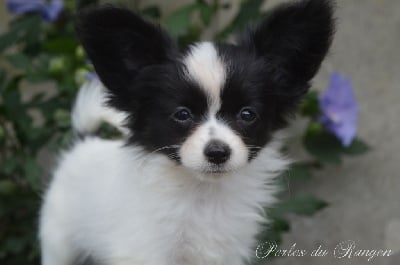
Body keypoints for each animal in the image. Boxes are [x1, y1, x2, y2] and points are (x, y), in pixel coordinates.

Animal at [38, 1, 334, 262]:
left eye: (247, 114)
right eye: (182, 114)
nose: (217, 152)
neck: (203, 196)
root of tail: (83, 141)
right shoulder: (144, 251)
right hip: (58, 242)